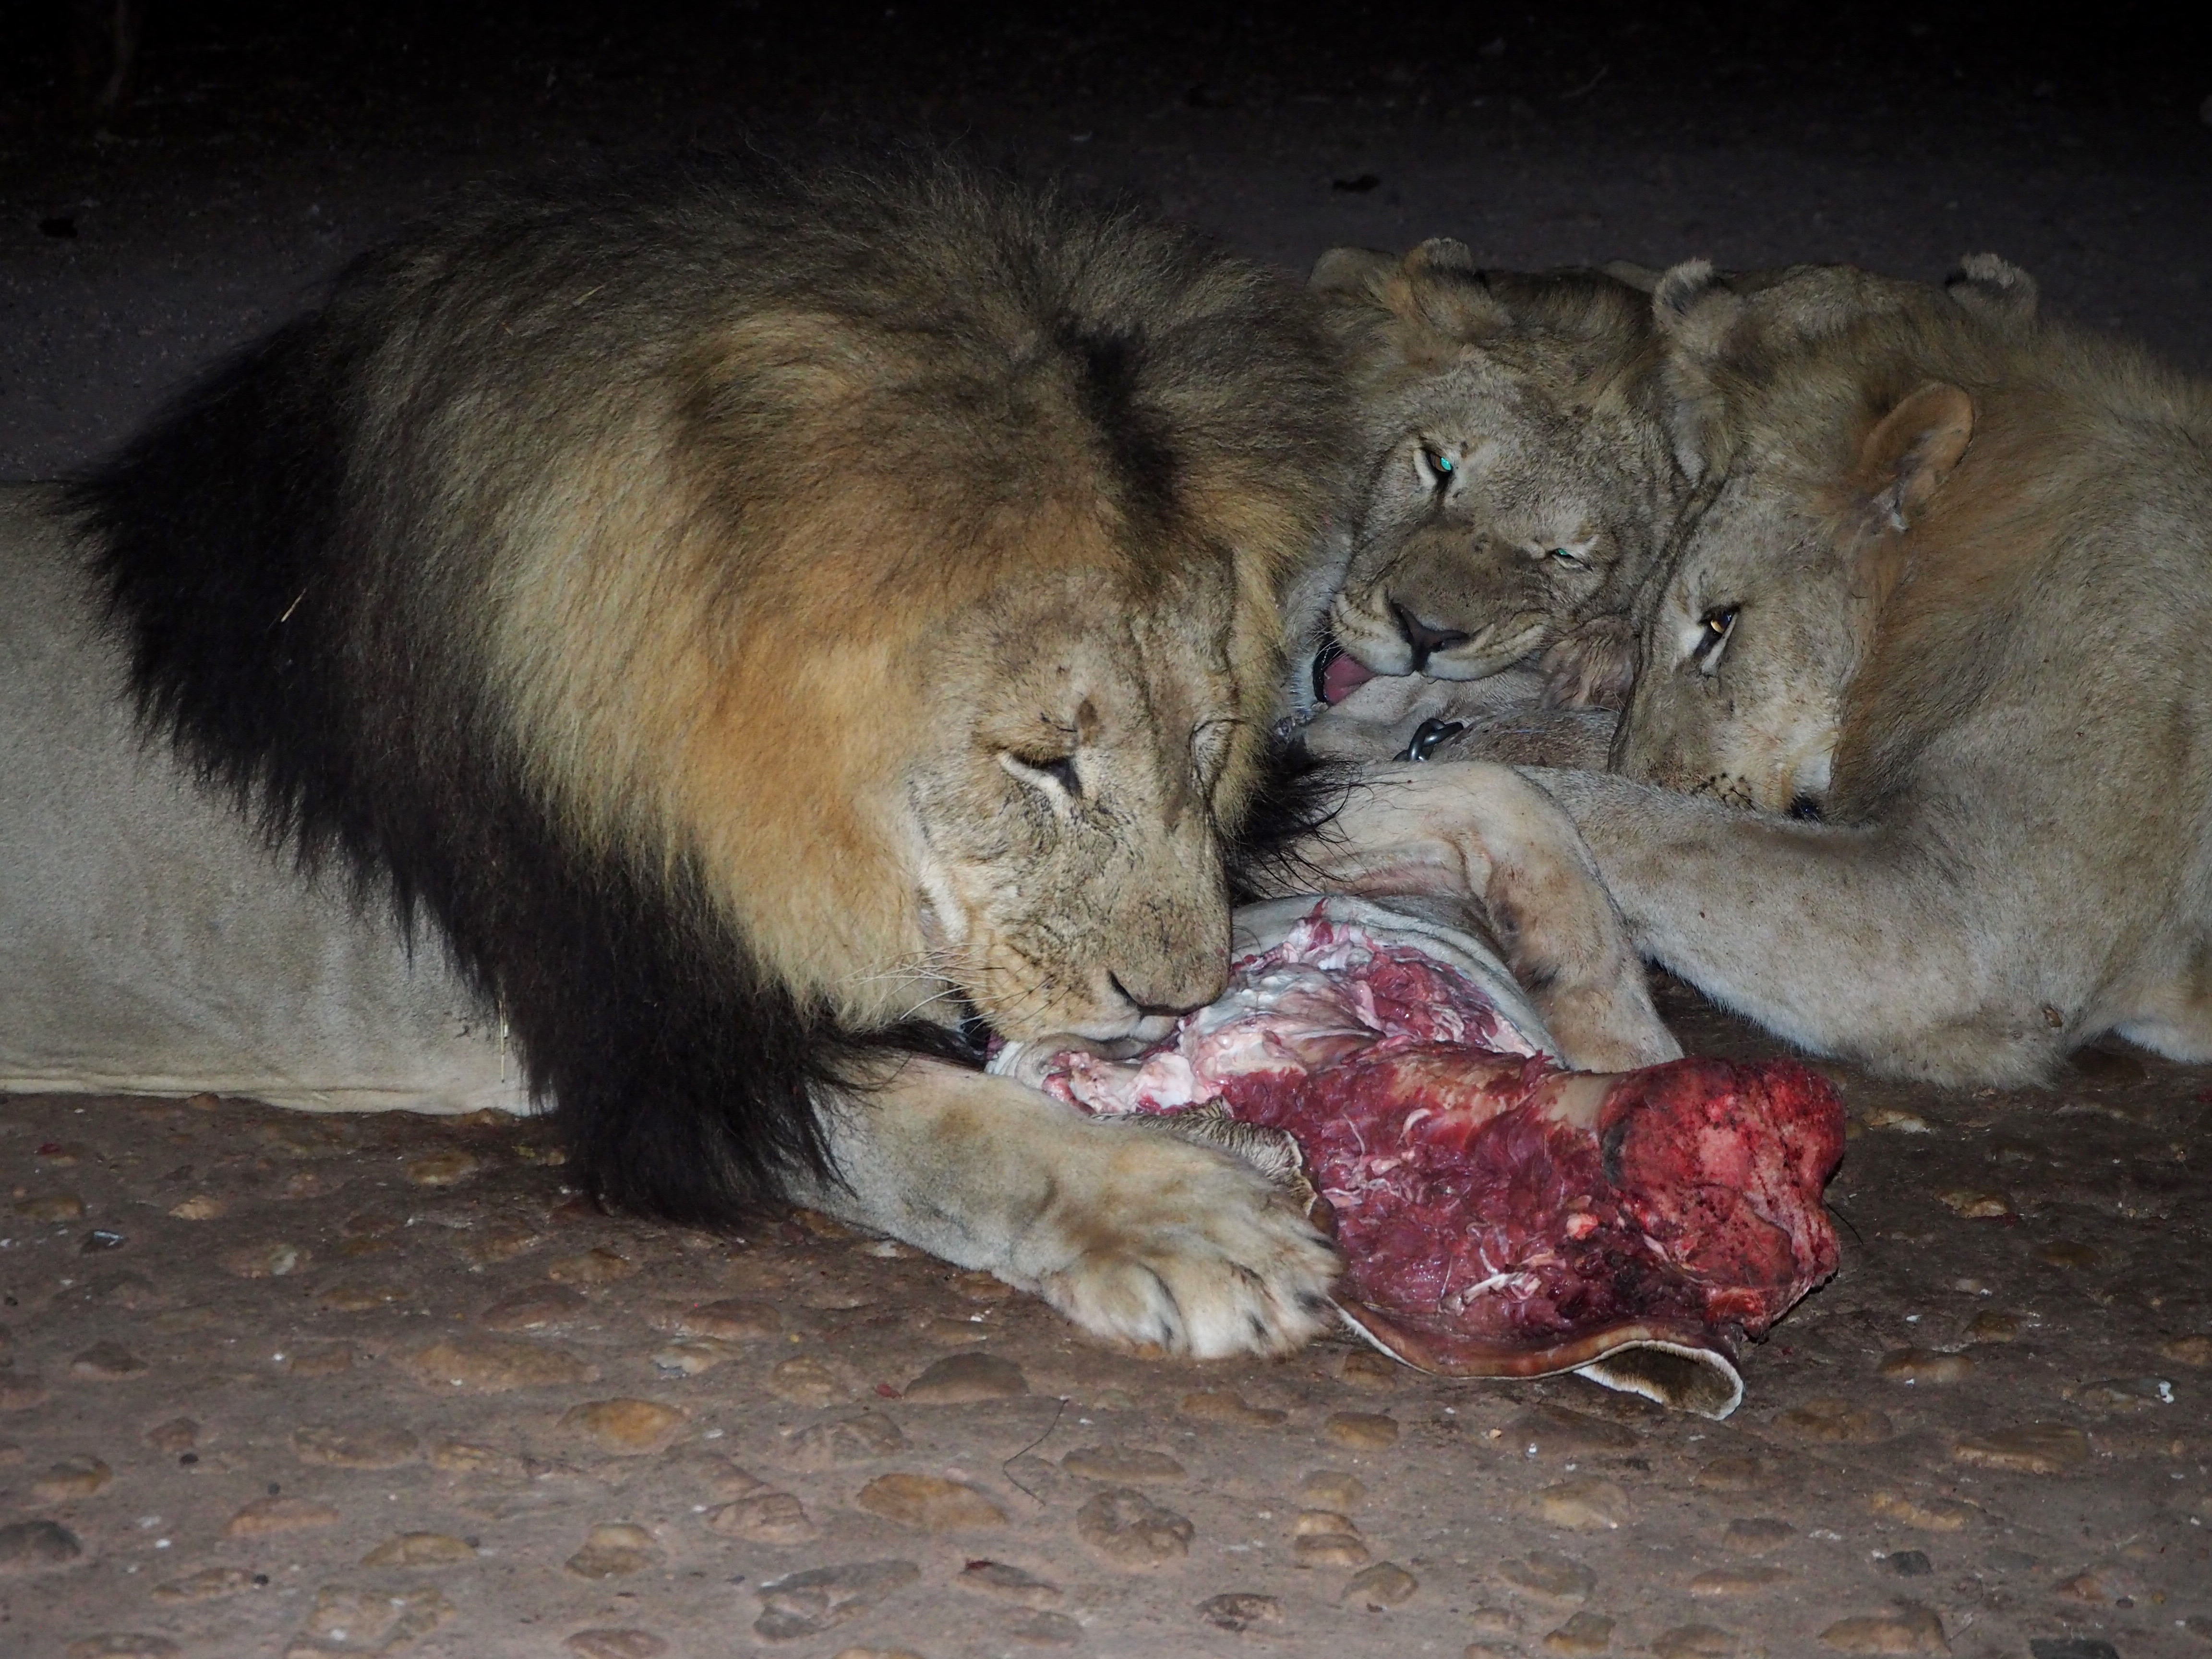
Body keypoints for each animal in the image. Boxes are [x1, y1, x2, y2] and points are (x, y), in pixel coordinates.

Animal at [69, 159, 1354, 1362]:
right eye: (1042, 762)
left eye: (1207, 740)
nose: (1181, 998)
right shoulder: (649, 1045)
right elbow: (953, 1132)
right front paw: (1188, 1218)